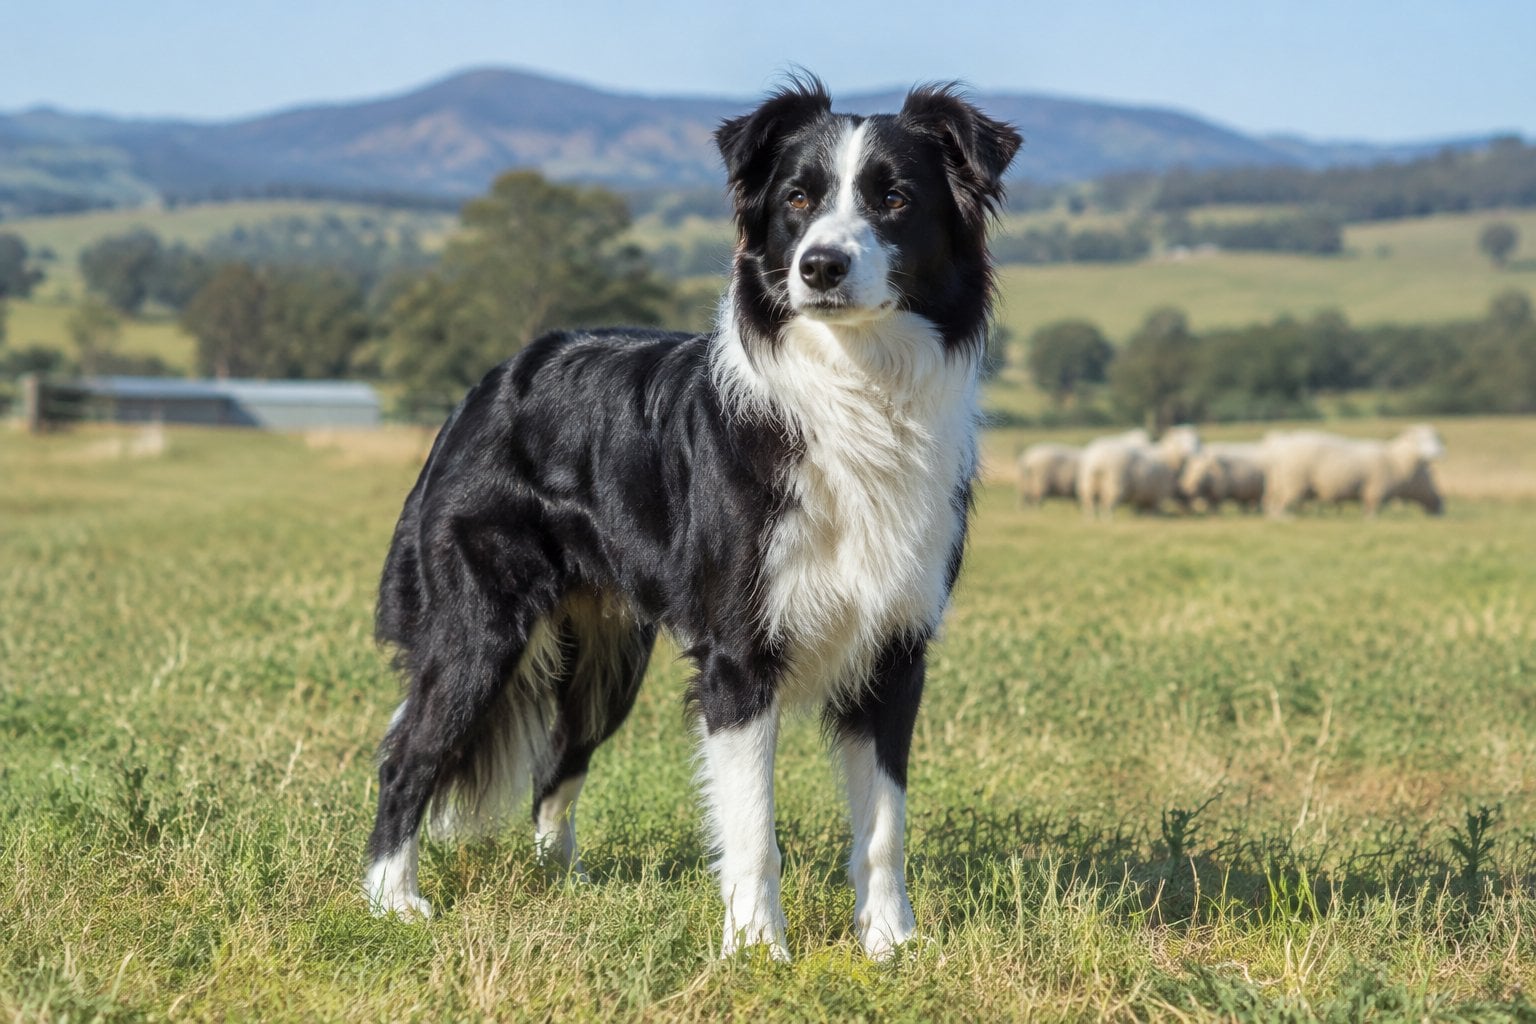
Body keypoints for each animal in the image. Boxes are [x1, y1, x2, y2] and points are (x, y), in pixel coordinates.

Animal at [1261, 424, 1445, 518]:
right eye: (1422, 439)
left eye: (1437, 438)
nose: (1441, 452)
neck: (1396, 460)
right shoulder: (1375, 490)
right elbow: (1372, 510)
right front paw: (1372, 520)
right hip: (1292, 483)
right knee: (1280, 506)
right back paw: (1286, 519)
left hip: (1281, 484)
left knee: (1274, 505)